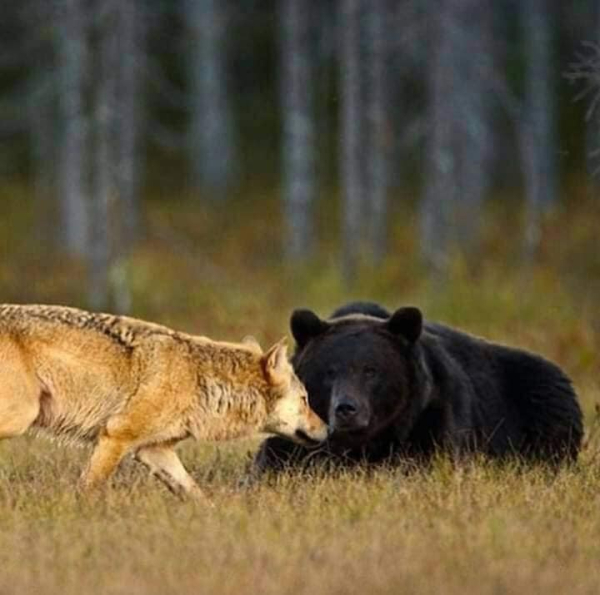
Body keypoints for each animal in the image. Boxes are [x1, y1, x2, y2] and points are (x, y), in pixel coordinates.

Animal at [0, 304, 328, 500]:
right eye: (305, 399)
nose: (328, 429)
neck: (200, 378)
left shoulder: (154, 451)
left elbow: (196, 494)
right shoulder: (115, 437)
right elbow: (89, 489)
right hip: (22, 416)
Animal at [255, 302, 584, 474]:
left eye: (371, 370)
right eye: (329, 371)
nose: (346, 409)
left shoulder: (430, 420)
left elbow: (425, 463)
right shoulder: (297, 430)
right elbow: (277, 461)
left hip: (538, 400)